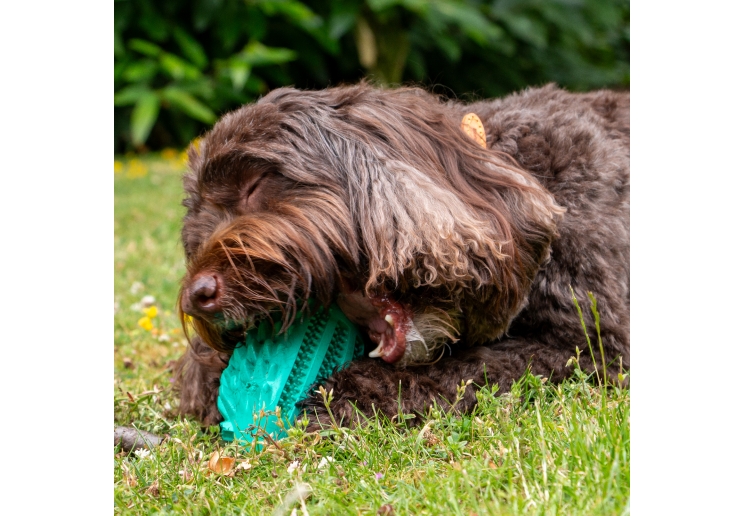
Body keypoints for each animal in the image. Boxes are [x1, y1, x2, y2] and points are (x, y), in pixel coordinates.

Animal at [174, 81, 628, 428]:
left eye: (254, 185)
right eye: (196, 232)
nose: (197, 296)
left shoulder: (592, 347)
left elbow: (479, 364)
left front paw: (349, 391)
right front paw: (209, 372)